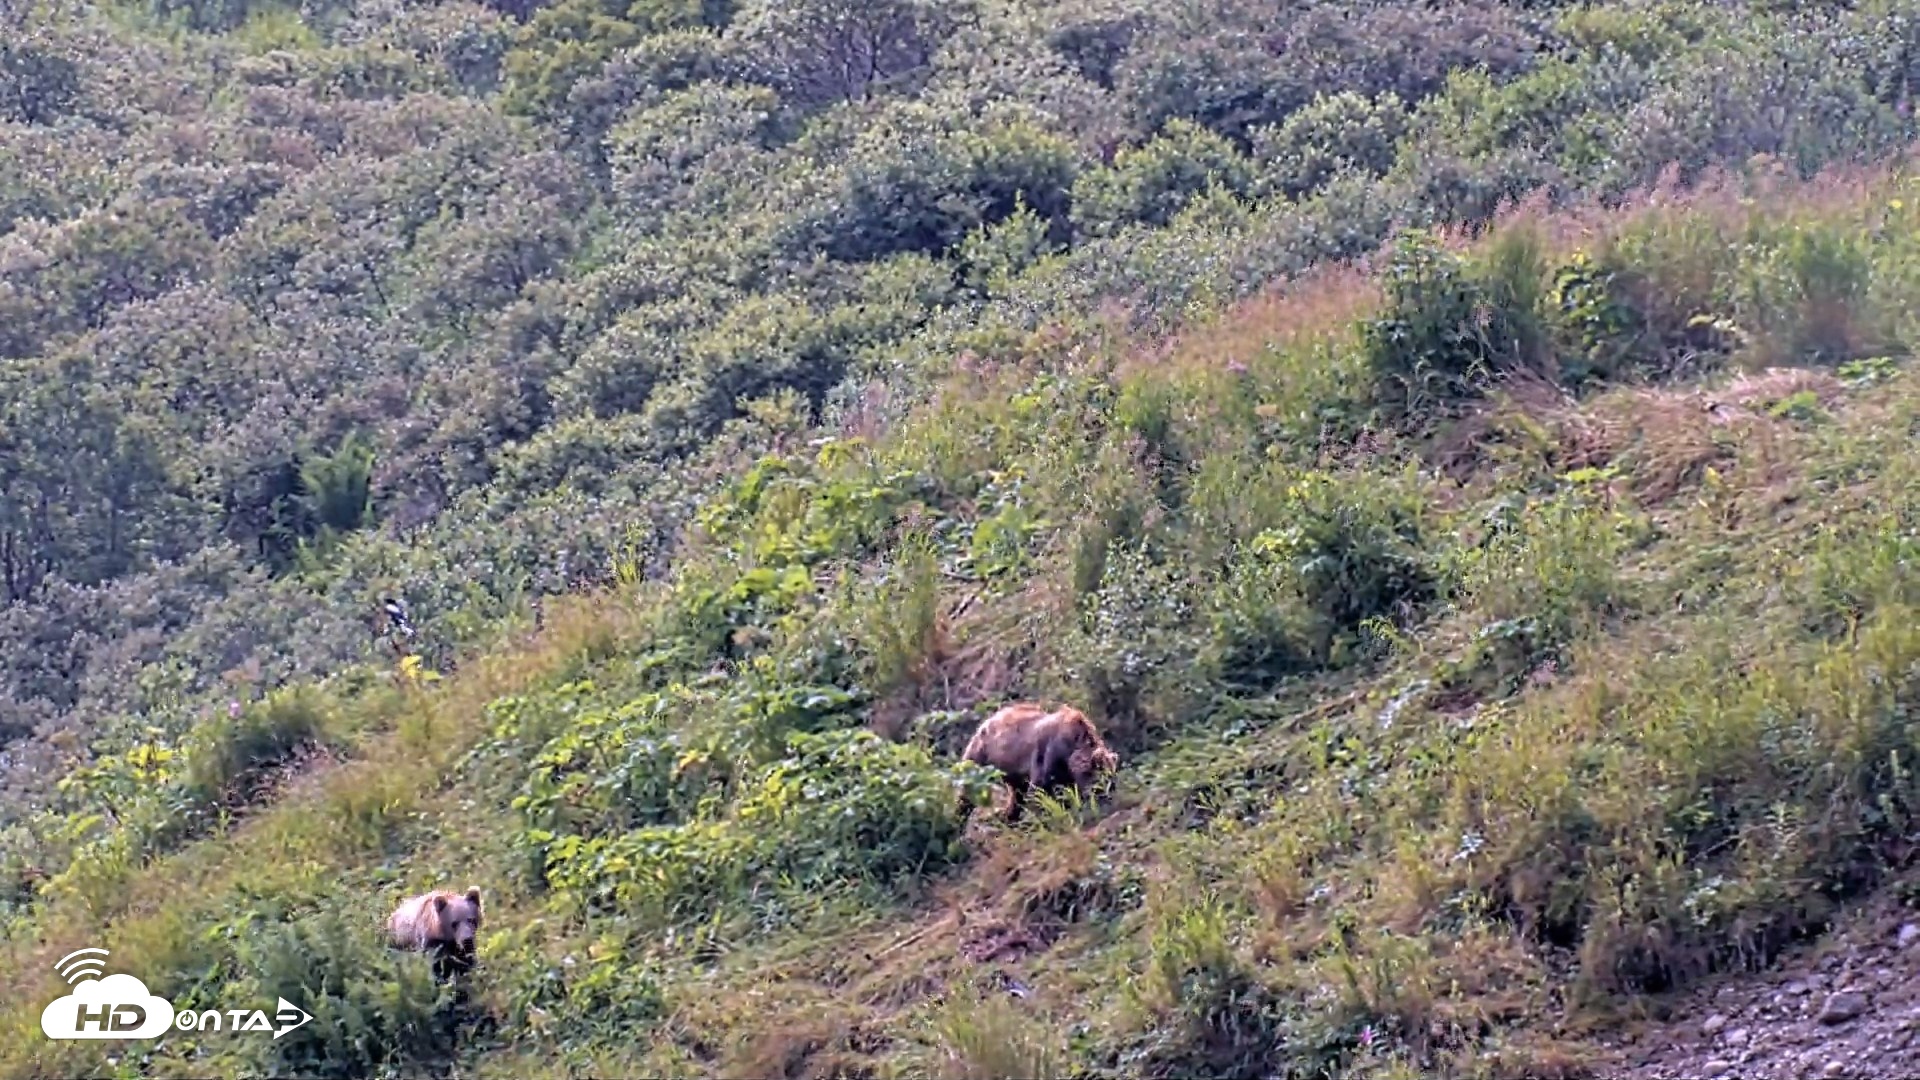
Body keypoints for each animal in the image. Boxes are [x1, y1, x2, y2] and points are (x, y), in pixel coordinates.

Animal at [959, 702, 1120, 824]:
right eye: (1097, 771)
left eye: (1110, 777)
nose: (1104, 794)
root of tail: (989, 718)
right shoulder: (1049, 753)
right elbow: (1040, 788)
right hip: (982, 753)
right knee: (969, 785)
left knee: (1016, 791)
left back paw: (1008, 815)